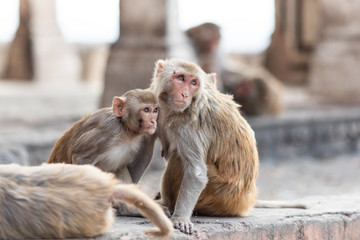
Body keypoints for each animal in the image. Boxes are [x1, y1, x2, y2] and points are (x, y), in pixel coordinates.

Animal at [48, 88, 159, 216]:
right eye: (146, 110)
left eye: (155, 110)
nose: (153, 121)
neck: (124, 129)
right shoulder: (105, 133)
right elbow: (81, 160)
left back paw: (130, 209)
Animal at [150, 58, 260, 234]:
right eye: (181, 78)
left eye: (193, 82)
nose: (185, 94)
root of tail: (244, 203)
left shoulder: (186, 128)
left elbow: (196, 173)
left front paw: (180, 218)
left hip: (219, 195)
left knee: (178, 159)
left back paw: (165, 205)